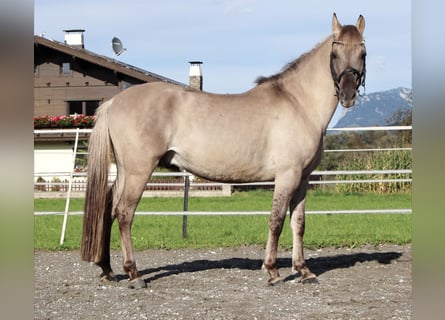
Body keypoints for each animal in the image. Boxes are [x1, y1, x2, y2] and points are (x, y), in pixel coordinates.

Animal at [80, 12, 364, 288]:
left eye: (362, 52)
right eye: (335, 53)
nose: (348, 95)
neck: (298, 102)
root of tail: (115, 101)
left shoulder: (303, 179)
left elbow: (299, 223)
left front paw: (304, 271)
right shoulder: (287, 176)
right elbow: (276, 221)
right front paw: (272, 271)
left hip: (124, 171)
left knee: (108, 208)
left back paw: (107, 269)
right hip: (138, 171)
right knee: (124, 213)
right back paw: (134, 274)